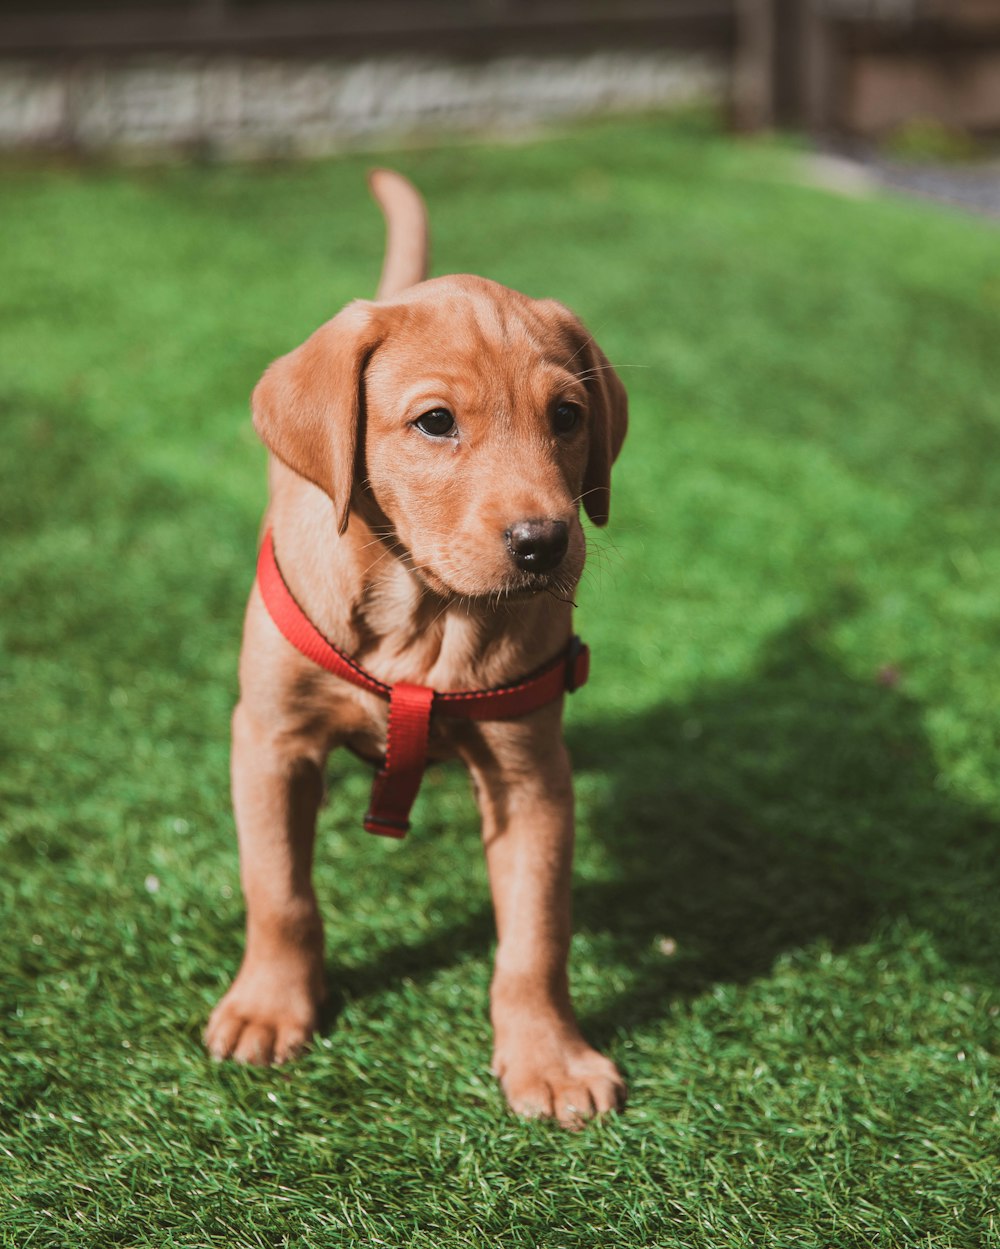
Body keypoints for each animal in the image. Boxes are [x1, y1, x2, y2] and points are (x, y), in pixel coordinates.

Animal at [203, 168, 629, 1124]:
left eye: (567, 416)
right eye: (435, 422)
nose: (546, 544)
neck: (424, 621)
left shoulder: (531, 775)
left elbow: (536, 935)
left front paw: (549, 1056)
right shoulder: (271, 739)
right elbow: (278, 890)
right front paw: (269, 1007)